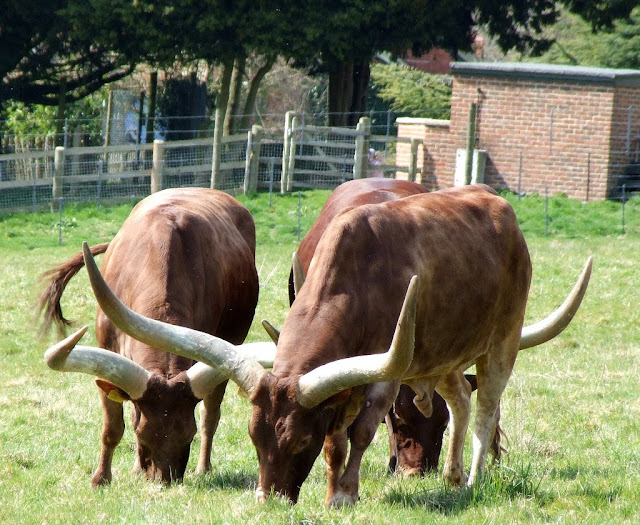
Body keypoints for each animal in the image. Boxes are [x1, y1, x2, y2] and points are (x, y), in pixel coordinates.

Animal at [37, 186, 272, 486]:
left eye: (188, 436)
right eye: (142, 434)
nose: (163, 480)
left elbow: (206, 416)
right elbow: (113, 426)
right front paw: (101, 478)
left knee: (211, 413)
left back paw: (203, 467)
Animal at [69, 184, 592, 504]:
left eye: (300, 440)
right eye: (254, 437)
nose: (270, 498)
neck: (354, 284)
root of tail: (498, 205)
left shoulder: (382, 376)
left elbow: (359, 434)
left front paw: (344, 493)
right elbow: (337, 441)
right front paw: (331, 488)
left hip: (500, 341)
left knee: (485, 409)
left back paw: (474, 480)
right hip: (438, 356)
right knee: (461, 399)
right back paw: (451, 474)